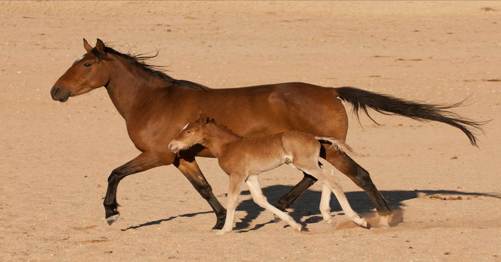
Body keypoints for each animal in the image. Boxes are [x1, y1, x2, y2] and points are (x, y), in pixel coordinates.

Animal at [168, 116, 368, 233]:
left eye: (189, 131)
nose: (171, 145)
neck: (228, 146)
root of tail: (314, 137)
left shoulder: (236, 175)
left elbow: (232, 200)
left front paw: (225, 230)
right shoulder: (250, 176)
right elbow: (260, 199)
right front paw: (295, 224)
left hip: (305, 164)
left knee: (332, 180)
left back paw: (358, 219)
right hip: (308, 164)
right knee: (327, 176)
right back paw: (327, 215)